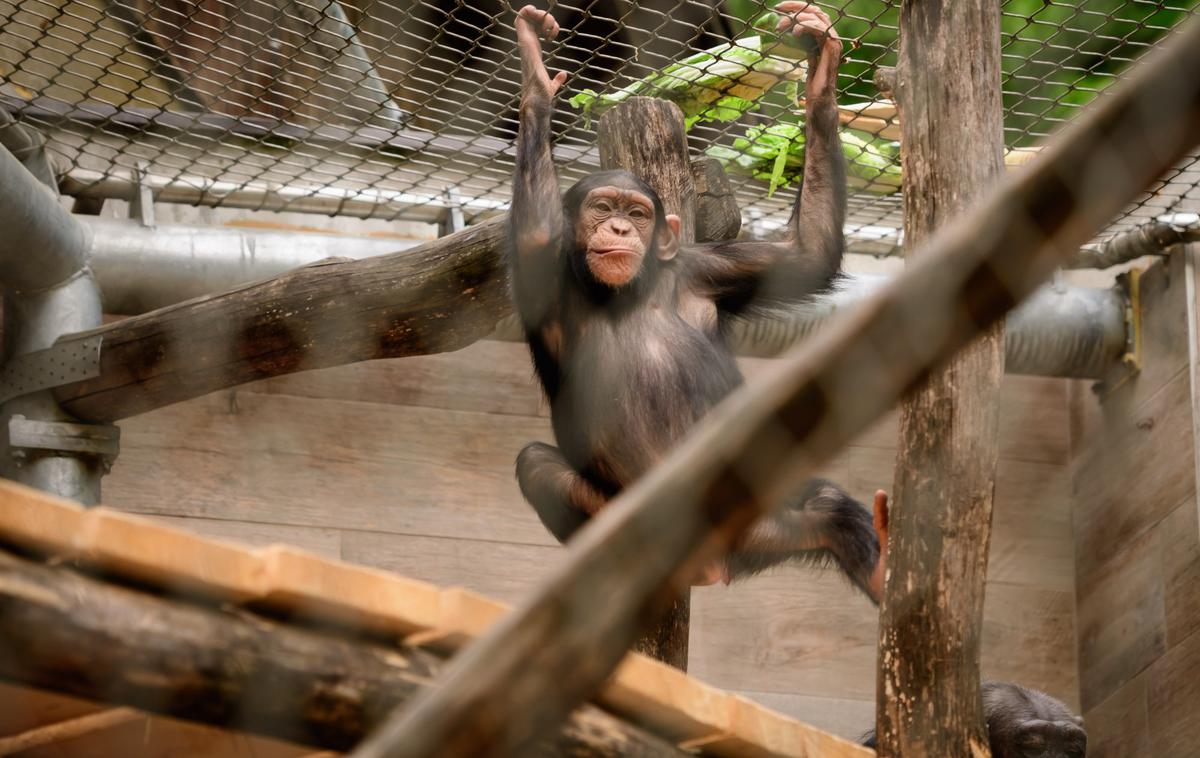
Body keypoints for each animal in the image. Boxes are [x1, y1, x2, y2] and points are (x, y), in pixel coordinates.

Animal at [506, 4, 892, 597]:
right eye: (602, 208)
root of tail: (715, 561)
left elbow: (807, 255)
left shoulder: (704, 271)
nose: (619, 227)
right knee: (535, 465)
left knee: (825, 507)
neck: (626, 294)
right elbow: (534, 233)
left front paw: (819, 71)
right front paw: (536, 79)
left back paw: (879, 565)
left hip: (759, 528)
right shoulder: (542, 270)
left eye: (637, 213)